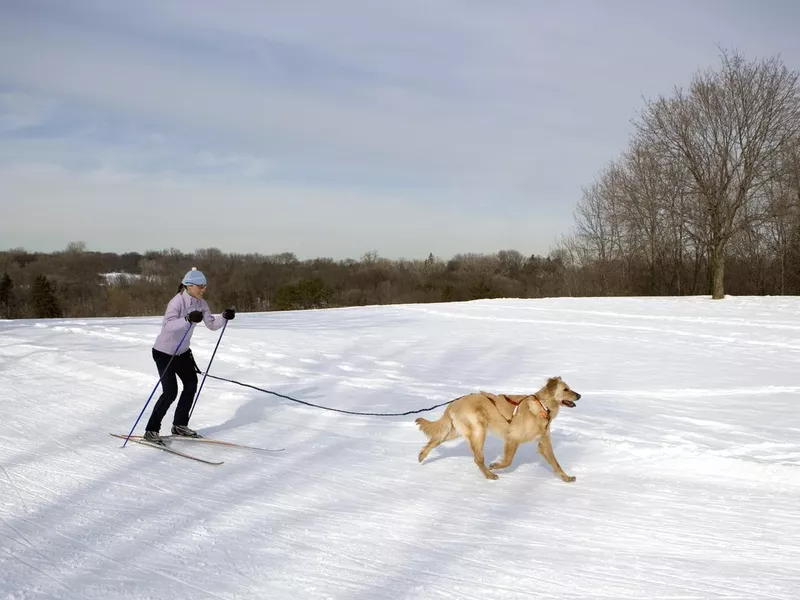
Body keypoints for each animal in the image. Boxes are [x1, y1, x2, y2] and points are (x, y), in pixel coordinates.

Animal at [416, 378, 580, 480]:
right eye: (566, 389)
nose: (579, 395)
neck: (542, 406)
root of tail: (454, 403)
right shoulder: (512, 438)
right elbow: (508, 460)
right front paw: (495, 466)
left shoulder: (543, 442)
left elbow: (556, 463)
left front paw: (566, 477)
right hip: (478, 431)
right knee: (478, 458)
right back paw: (489, 474)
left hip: (455, 431)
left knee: (435, 440)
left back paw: (422, 455)